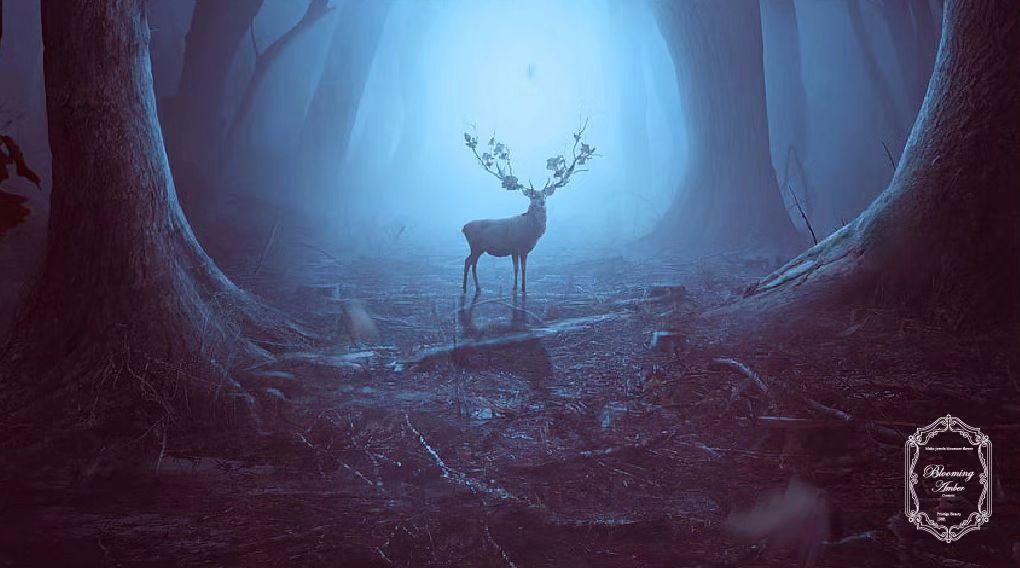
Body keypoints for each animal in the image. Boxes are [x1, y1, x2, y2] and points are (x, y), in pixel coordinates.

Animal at [461, 121, 596, 295]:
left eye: (544, 195)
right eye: (532, 195)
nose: (541, 203)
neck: (530, 231)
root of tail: (463, 228)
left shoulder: (524, 249)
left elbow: (524, 269)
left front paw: (524, 288)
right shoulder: (515, 246)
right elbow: (516, 268)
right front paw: (515, 287)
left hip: (478, 248)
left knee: (472, 263)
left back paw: (477, 287)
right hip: (475, 245)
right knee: (468, 262)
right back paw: (466, 288)